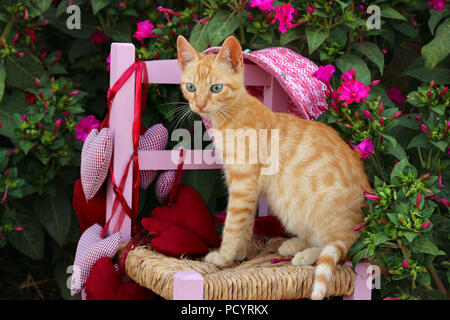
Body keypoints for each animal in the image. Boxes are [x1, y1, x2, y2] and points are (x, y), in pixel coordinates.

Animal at [176, 35, 370, 300]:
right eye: (191, 87)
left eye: (216, 88)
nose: (200, 105)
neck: (232, 115)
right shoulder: (247, 186)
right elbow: (245, 223)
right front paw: (239, 253)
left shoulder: (243, 183)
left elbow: (232, 225)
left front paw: (224, 257)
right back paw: (296, 244)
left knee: (340, 245)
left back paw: (307, 254)